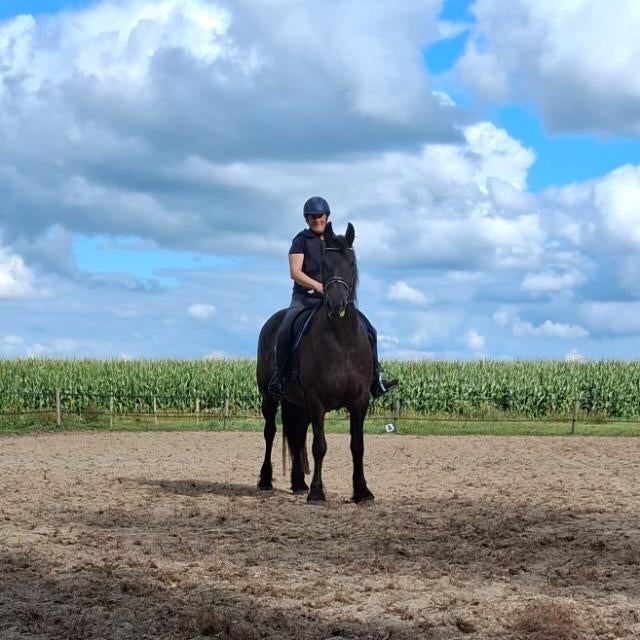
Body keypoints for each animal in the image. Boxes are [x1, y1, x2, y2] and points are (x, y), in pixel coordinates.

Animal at [256, 221, 375, 503]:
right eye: (325, 263)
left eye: (351, 263)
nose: (336, 304)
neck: (342, 341)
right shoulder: (317, 400)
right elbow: (319, 445)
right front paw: (318, 492)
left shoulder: (360, 400)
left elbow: (357, 445)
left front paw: (362, 491)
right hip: (269, 396)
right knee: (270, 432)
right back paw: (266, 480)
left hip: (297, 403)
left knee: (297, 435)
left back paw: (299, 483)